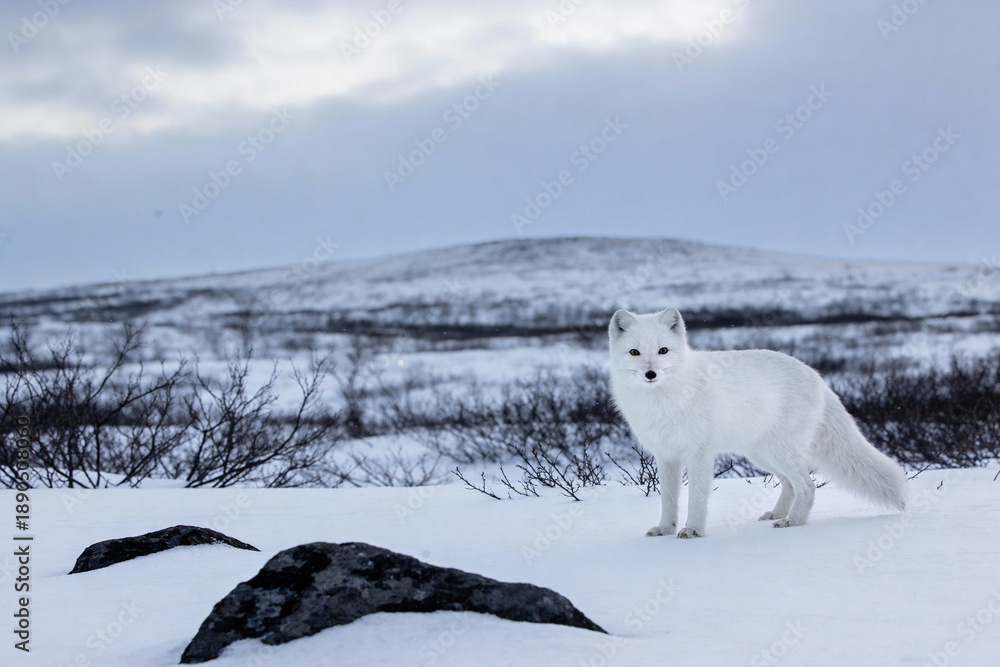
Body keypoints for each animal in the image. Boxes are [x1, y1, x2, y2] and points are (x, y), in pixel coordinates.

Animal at [608, 307, 907, 538]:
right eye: (634, 352)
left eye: (663, 350)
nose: (650, 373)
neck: (663, 399)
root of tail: (818, 378)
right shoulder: (666, 455)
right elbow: (668, 500)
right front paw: (665, 529)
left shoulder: (699, 454)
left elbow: (696, 498)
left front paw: (693, 530)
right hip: (762, 456)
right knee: (790, 485)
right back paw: (777, 513)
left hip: (779, 452)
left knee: (807, 486)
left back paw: (793, 522)